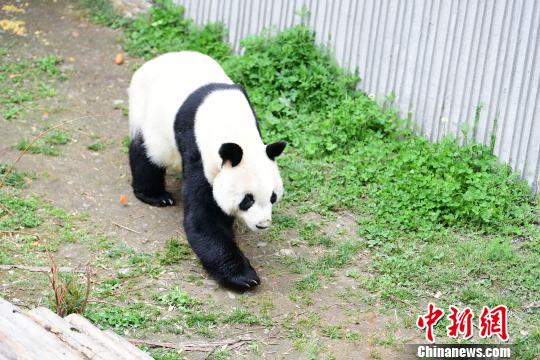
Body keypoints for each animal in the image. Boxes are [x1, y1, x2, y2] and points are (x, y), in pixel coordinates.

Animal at [128, 51, 286, 290]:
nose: (262, 224)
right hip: (147, 111)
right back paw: (155, 195)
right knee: (148, 152)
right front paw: (244, 277)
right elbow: (204, 219)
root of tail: (155, 60)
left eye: (273, 197)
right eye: (247, 199)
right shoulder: (199, 152)